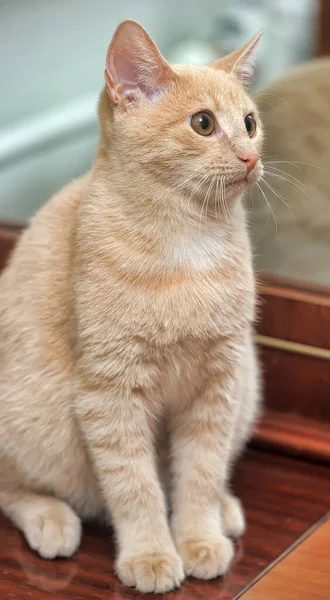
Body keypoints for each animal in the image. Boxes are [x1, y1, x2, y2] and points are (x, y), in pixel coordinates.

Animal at [0, 19, 262, 596]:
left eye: (250, 123)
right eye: (203, 123)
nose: (251, 157)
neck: (188, 245)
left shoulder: (218, 385)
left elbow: (200, 474)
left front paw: (198, 538)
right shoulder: (110, 395)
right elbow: (136, 487)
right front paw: (151, 554)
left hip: (248, 391)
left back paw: (226, 510)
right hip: (35, 422)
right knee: (10, 486)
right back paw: (51, 520)